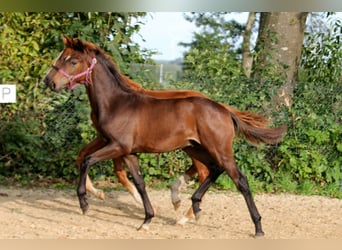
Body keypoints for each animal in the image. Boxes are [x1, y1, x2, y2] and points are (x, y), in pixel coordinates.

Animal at [44, 35, 288, 236]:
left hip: (218, 149)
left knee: (240, 180)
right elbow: (139, 182)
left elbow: (87, 160)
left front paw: (85, 203)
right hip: (195, 147)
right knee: (214, 170)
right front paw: (147, 220)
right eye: (62, 56)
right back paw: (194, 206)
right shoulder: (128, 151)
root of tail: (224, 109)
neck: (116, 103)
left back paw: (257, 228)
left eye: (72, 61)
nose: (49, 81)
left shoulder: (117, 146)